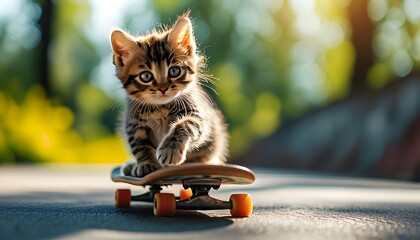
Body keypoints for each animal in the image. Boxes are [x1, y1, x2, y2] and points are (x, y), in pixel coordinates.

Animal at [110, 11, 228, 176]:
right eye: (146, 76)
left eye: (174, 71)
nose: (163, 88)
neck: (159, 108)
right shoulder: (133, 123)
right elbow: (139, 145)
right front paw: (146, 163)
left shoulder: (195, 114)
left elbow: (185, 124)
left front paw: (170, 149)